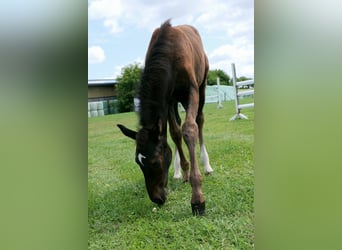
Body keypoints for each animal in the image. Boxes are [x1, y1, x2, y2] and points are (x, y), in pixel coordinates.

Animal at [118, 19, 214, 215]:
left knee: (199, 120)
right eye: (138, 162)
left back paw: (207, 165)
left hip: (202, 86)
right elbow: (175, 133)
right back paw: (178, 172)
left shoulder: (191, 90)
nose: (157, 198)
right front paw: (184, 171)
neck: (169, 53)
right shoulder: (167, 99)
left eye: (155, 162)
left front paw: (197, 199)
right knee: (176, 126)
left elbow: (189, 129)